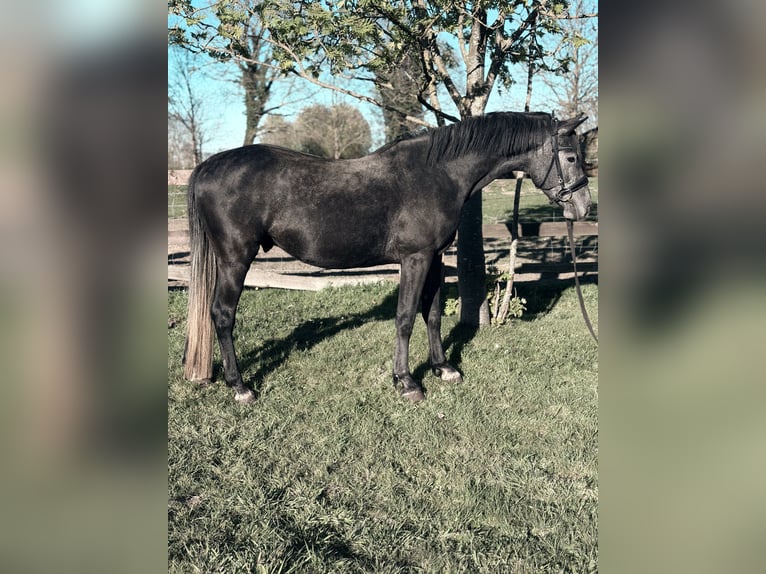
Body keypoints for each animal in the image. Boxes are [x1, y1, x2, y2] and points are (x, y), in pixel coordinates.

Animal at [183, 112, 591, 403]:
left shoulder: (434, 258)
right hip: (236, 259)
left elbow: (432, 314)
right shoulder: (414, 259)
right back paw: (240, 387)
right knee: (222, 315)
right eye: (571, 156)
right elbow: (406, 318)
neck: (438, 174)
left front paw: (443, 368)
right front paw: (407, 381)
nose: (583, 207)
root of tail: (207, 166)